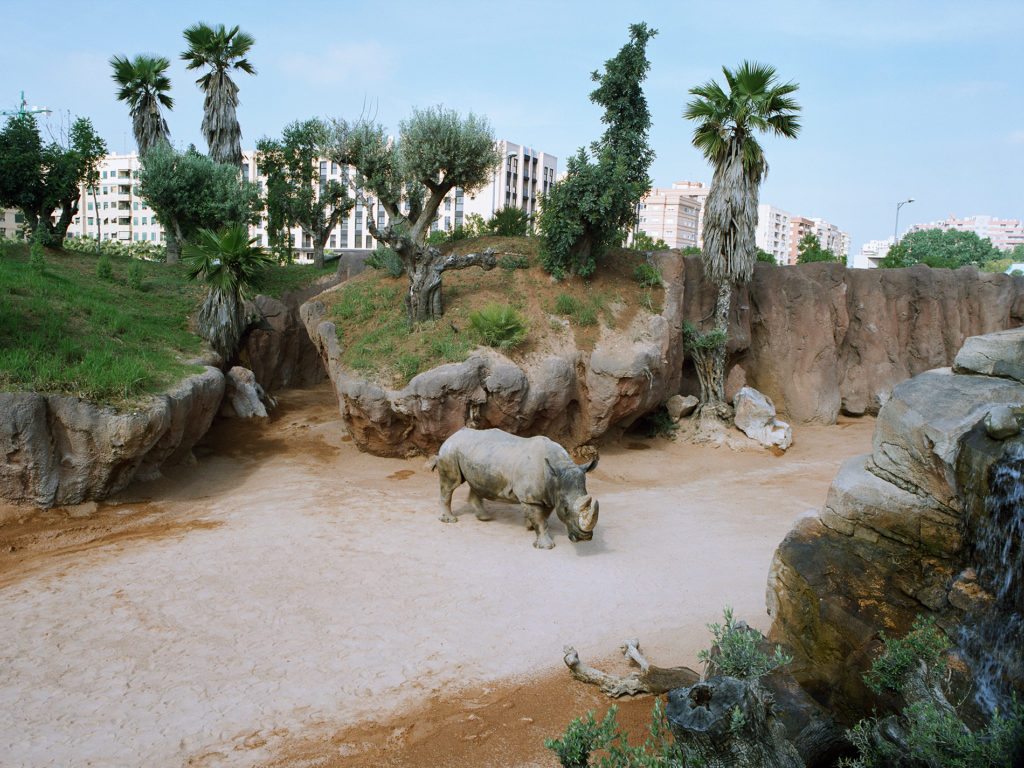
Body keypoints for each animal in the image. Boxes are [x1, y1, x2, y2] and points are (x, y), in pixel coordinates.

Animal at [425, 430, 598, 548]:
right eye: (566, 508)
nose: (585, 538)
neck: (556, 471)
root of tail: (453, 435)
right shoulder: (532, 498)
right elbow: (540, 520)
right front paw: (546, 546)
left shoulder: (548, 495)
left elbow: (544, 516)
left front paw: (529, 526)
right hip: (450, 451)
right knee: (451, 484)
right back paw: (450, 520)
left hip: (476, 453)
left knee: (477, 482)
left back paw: (484, 517)